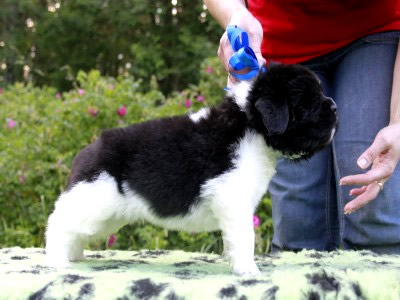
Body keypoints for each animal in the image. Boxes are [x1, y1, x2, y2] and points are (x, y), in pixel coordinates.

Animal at [45, 63, 338, 274]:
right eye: (308, 101)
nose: (335, 107)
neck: (250, 123)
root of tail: (88, 150)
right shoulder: (232, 198)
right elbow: (245, 236)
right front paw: (248, 271)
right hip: (92, 197)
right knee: (58, 223)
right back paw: (58, 261)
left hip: (105, 215)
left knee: (75, 232)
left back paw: (74, 256)